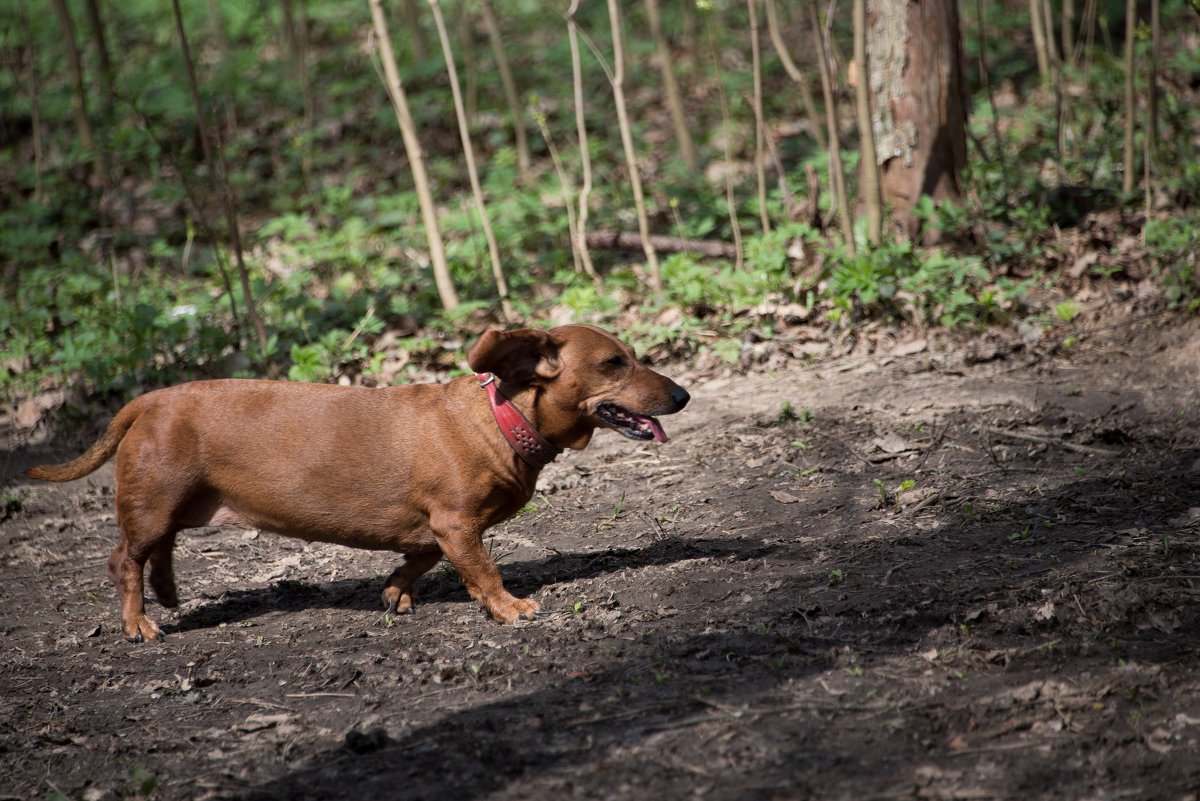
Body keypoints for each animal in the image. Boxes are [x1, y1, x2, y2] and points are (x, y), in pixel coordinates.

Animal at [23, 321, 691, 642]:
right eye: (614, 363)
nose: (683, 395)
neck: (501, 418)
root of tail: (148, 400)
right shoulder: (457, 525)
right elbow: (483, 572)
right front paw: (509, 608)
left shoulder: (436, 531)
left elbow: (417, 560)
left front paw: (395, 593)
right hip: (152, 507)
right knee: (125, 560)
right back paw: (139, 622)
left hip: (176, 508)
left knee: (158, 553)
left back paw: (166, 594)